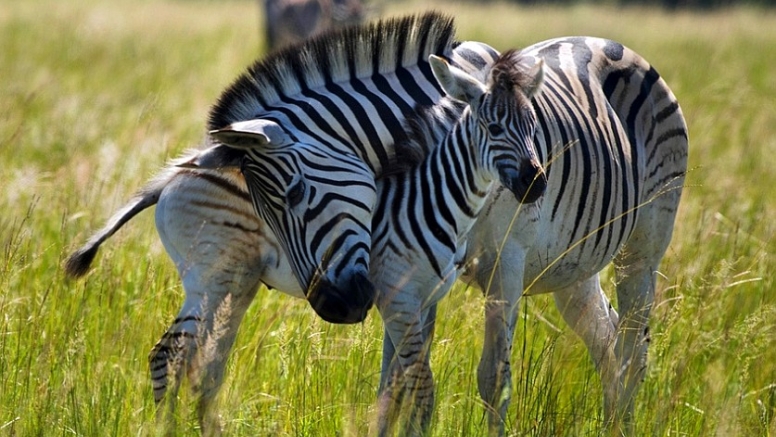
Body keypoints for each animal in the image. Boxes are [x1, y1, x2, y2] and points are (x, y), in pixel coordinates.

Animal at [209, 34, 688, 432]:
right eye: (263, 215)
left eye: (295, 193)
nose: (334, 306)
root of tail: (613, 44)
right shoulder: (409, 274)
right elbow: (394, 388)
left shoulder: (505, 263)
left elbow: (494, 380)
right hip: (571, 266)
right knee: (608, 339)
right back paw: (613, 421)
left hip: (643, 249)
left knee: (634, 349)